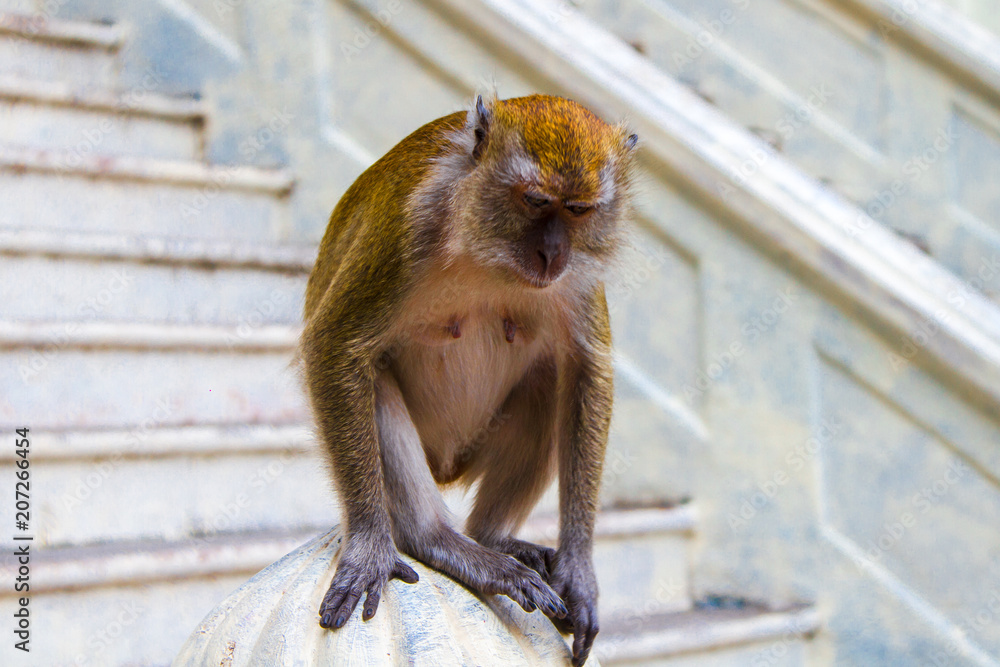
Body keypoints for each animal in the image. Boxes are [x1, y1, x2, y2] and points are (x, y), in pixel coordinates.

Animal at [300, 91, 636, 664]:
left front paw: (579, 571)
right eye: (535, 201)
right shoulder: (406, 226)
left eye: (578, 210)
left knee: (549, 384)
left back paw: (492, 537)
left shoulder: (581, 273)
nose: (552, 252)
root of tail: (446, 466)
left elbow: (587, 374)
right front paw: (369, 545)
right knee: (374, 382)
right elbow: (335, 347)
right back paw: (434, 539)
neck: (488, 249)